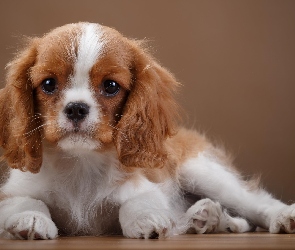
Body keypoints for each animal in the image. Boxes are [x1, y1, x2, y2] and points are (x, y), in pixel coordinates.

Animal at [0, 23, 295, 240]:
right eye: (48, 84)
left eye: (110, 86)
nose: (76, 108)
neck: (81, 161)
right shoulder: (11, 193)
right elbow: (27, 201)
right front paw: (32, 219)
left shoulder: (148, 186)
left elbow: (138, 202)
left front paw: (147, 220)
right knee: (240, 222)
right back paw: (206, 219)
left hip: (201, 171)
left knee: (255, 203)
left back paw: (280, 217)